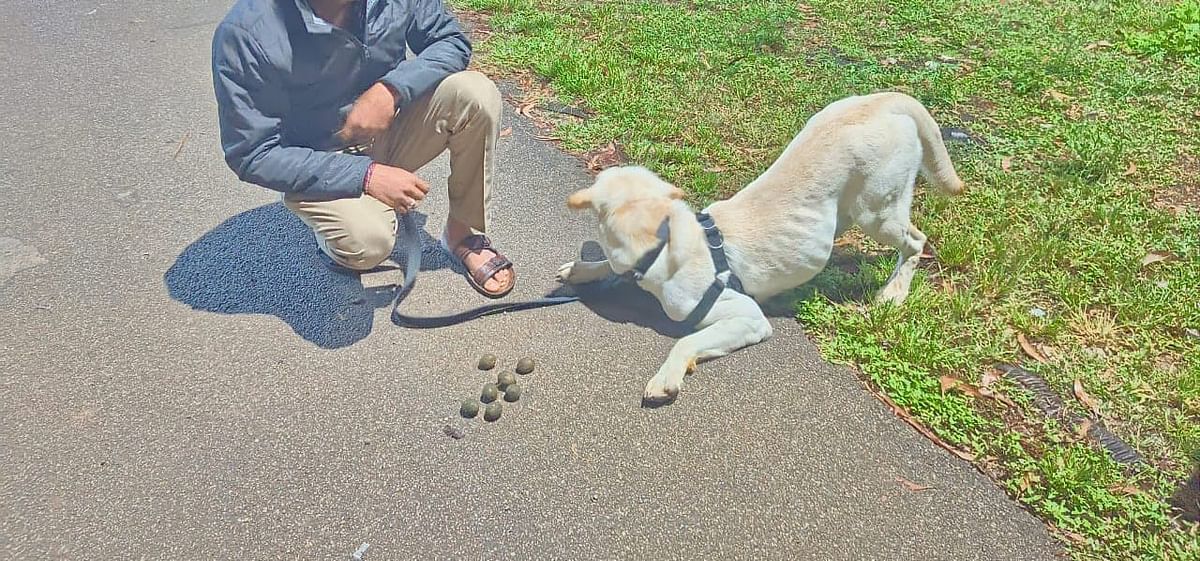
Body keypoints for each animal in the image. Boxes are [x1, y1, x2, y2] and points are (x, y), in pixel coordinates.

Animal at [559, 94, 964, 405]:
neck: (669, 241)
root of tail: (886, 99)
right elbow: (609, 267)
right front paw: (584, 268)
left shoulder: (746, 317)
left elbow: (686, 340)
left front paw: (667, 376)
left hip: (877, 212)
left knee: (915, 242)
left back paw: (894, 292)